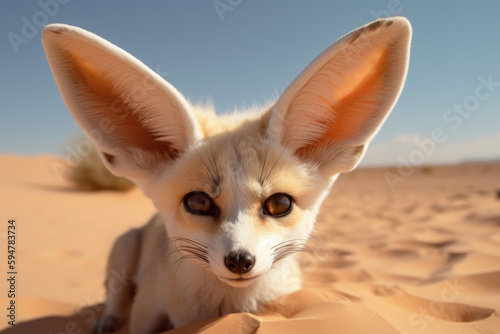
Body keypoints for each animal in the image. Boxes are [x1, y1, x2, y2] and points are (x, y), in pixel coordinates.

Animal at [42, 16, 410, 334]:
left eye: (279, 204)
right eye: (198, 202)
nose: (239, 261)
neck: (226, 310)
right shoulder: (146, 314)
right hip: (124, 246)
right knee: (115, 293)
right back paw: (107, 319)